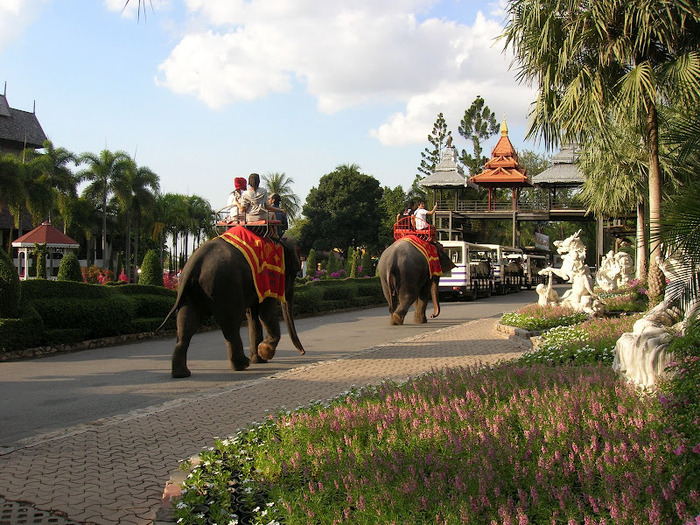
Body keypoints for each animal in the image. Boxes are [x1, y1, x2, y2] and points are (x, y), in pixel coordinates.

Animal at [160, 230, 304, 376]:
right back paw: (242, 364)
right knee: (232, 323)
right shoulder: (268, 276)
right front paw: (265, 351)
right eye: (296, 269)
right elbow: (265, 312)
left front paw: (260, 358)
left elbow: (253, 315)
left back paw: (181, 373)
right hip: (226, 286)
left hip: (192, 291)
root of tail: (196, 261)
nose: (302, 352)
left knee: (186, 323)